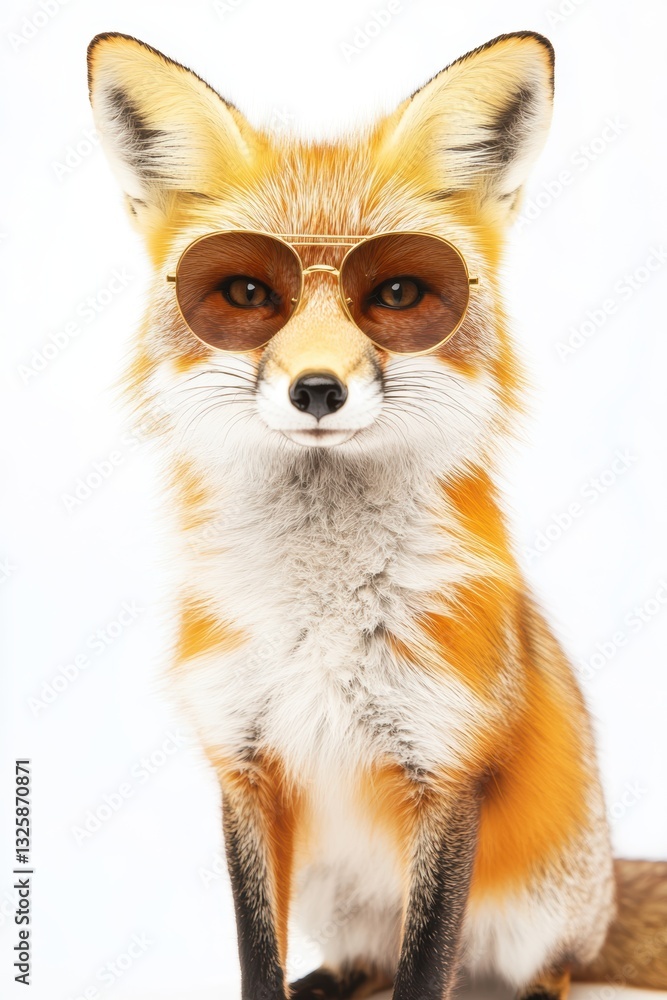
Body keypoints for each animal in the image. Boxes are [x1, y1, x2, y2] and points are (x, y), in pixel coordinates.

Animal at [87, 29, 667, 1000]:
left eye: (397, 295)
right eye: (246, 296)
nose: (317, 389)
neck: (320, 614)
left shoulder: (446, 767)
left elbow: (423, 964)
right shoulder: (243, 764)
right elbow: (259, 956)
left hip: (539, 917)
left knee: (534, 973)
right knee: (359, 962)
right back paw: (328, 980)